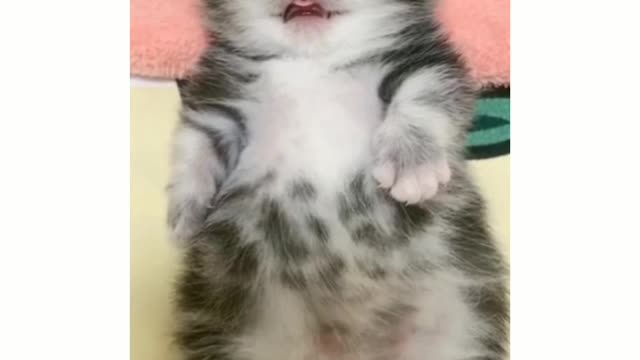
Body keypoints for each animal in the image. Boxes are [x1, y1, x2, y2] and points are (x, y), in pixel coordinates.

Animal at [168, 0, 508, 360]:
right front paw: (186, 213)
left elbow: (425, 98)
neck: (311, 62)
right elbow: (194, 146)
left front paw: (412, 162)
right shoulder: (217, 103)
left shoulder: (426, 64)